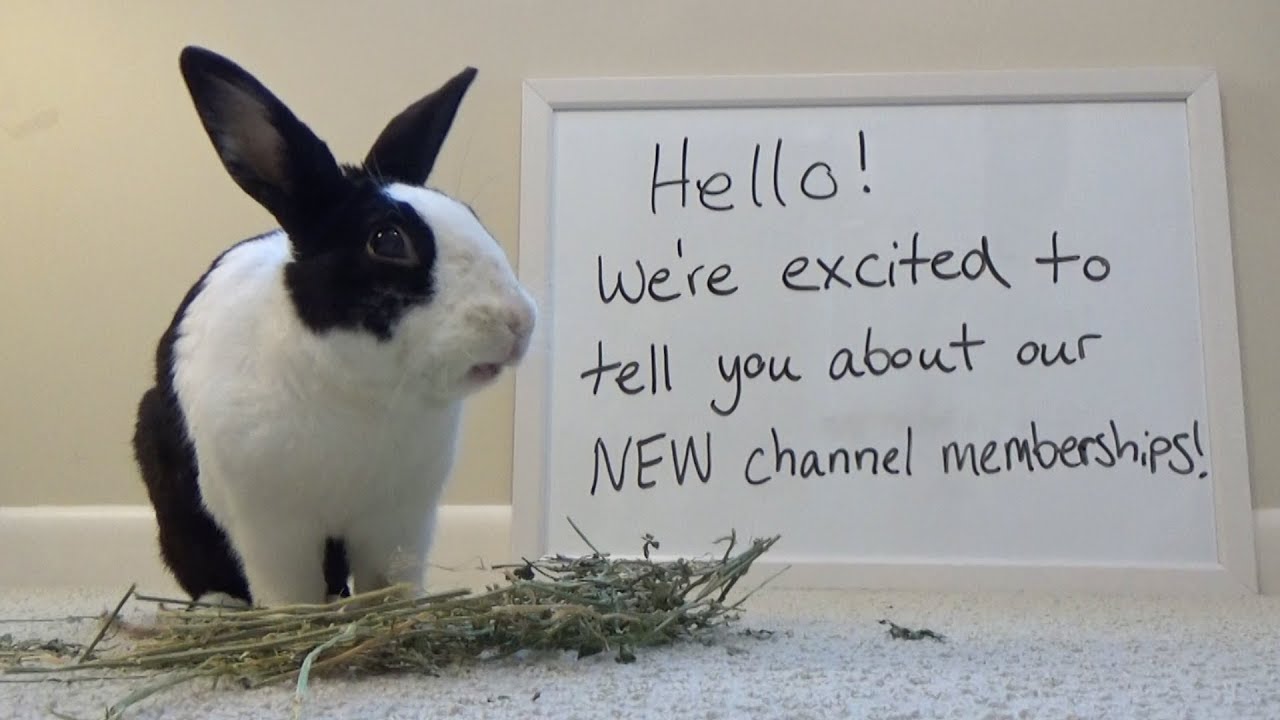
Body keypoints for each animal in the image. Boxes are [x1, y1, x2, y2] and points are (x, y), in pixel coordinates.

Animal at [131, 45, 536, 608]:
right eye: (387, 241)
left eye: (471, 215)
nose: (519, 322)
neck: (360, 394)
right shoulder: (273, 532)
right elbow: (288, 594)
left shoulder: (399, 523)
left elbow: (389, 583)